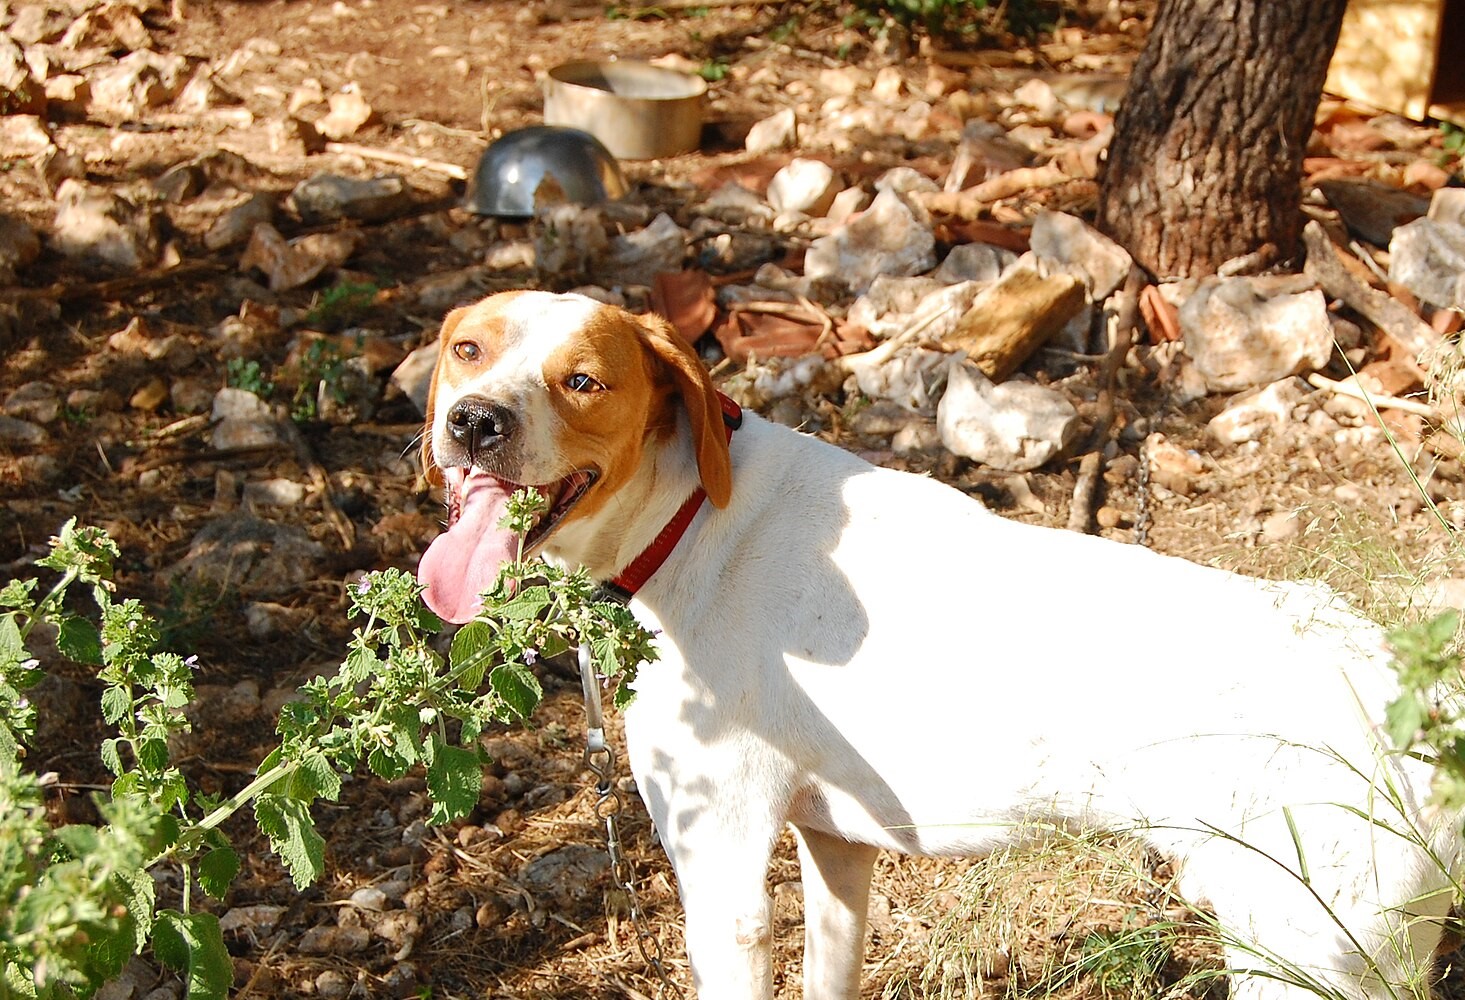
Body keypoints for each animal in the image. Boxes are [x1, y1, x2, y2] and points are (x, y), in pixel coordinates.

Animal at [418, 289, 1459, 1000]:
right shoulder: (835, 853)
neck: (686, 520)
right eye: (467, 349)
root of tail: (1408, 690)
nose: (472, 421)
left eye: (583, 381)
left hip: (1306, 956)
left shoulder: (723, 877)